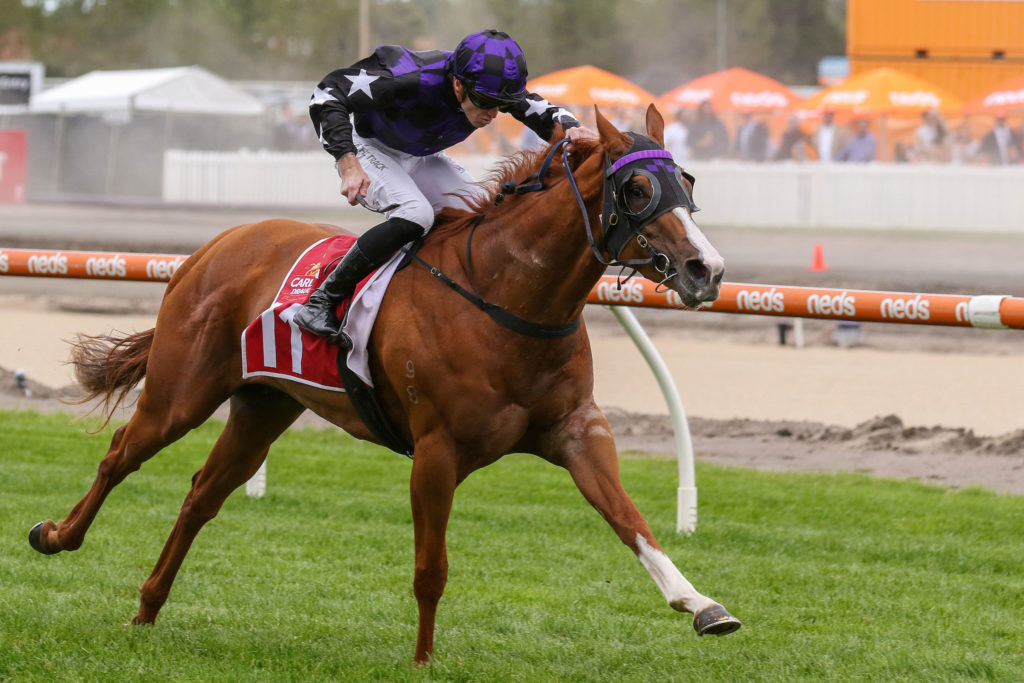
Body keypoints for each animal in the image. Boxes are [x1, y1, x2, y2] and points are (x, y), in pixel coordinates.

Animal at [28, 105, 738, 664]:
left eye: (686, 180)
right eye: (638, 188)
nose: (705, 268)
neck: (508, 297)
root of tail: (214, 245)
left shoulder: (575, 431)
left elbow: (630, 519)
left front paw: (703, 604)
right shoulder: (437, 451)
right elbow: (431, 568)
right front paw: (423, 660)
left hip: (263, 405)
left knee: (202, 494)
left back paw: (148, 606)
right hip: (182, 391)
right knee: (120, 456)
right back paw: (58, 536)